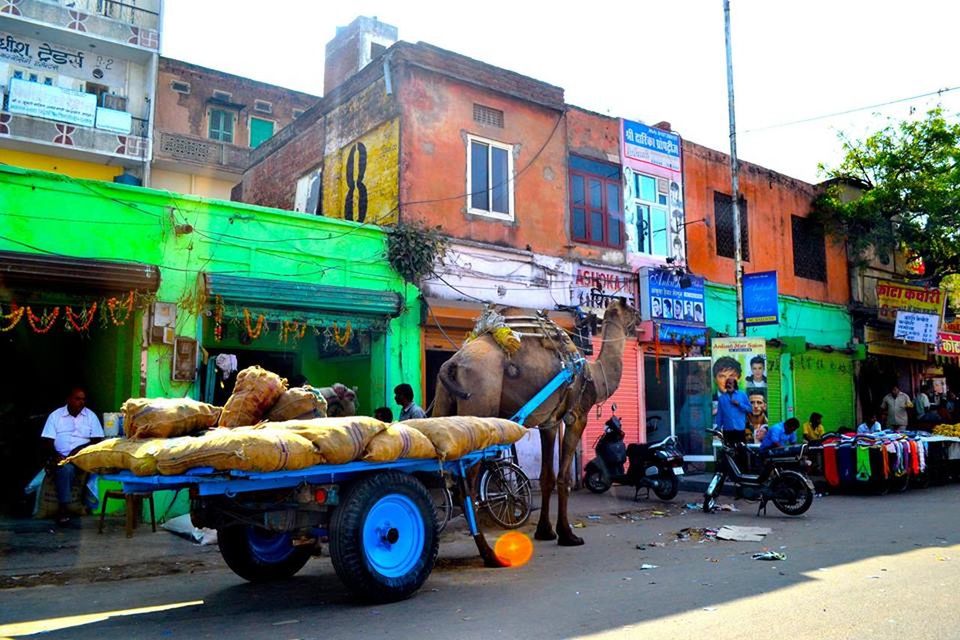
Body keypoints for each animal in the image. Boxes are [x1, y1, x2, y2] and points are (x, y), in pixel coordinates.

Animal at [436, 298, 636, 544]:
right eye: (632, 309)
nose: (639, 319)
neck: (594, 376)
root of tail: (453, 364)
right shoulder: (577, 416)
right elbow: (563, 478)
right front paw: (568, 535)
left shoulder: (549, 422)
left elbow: (546, 477)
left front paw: (545, 531)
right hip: (479, 404)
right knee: (466, 485)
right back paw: (485, 546)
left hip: (443, 400)